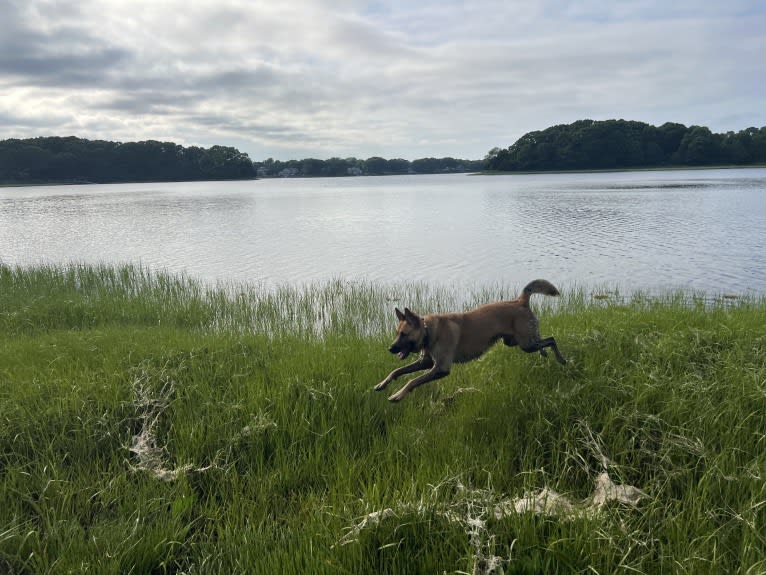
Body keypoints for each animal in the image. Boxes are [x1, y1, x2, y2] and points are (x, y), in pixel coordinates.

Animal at [376, 280, 568, 400]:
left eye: (403, 334)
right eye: (396, 333)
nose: (390, 348)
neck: (428, 332)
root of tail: (520, 301)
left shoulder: (440, 368)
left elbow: (412, 381)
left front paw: (397, 395)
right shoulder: (426, 363)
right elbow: (397, 371)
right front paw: (382, 384)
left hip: (525, 344)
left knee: (551, 339)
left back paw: (561, 359)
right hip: (515, 342)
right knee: (541, 339)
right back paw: (544, 353)